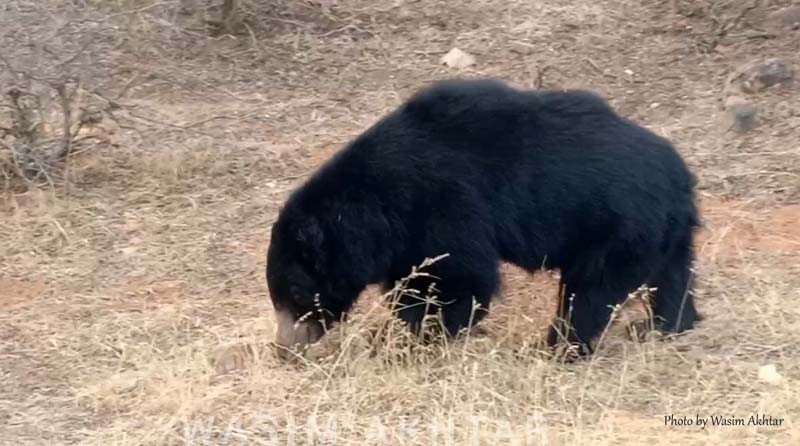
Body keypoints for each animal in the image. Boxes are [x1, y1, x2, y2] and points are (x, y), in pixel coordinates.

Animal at [264, 78, 700, 358]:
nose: (285, 349)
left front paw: (410, 339)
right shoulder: (404, 240)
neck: (373, 209)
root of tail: (680, 175)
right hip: (663, 230)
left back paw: (558, 348)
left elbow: (456, 279)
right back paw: (665, 325)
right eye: (277, 295)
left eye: (298, 294)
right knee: (672, 277)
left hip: (617, 226)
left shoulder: (441, 205)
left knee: (590, 293)